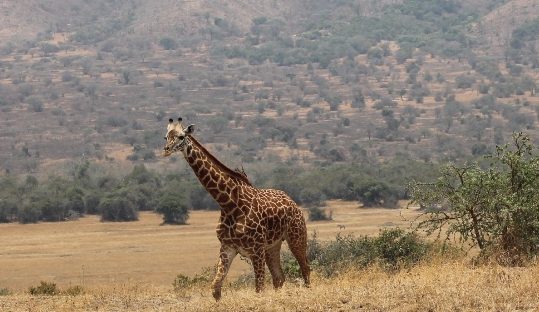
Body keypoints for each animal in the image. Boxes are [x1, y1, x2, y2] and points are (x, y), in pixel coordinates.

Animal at [162, 117, 310, 300]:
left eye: (181, 136)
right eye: (166, 137)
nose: (166, 150)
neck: (228, 204)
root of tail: (293, 202)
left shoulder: (256, 250)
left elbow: (259, 288)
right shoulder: (228, 247)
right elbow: (215, 288)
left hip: (296, 236)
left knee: (305, 269)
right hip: (272, 246)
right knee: (279, 277)